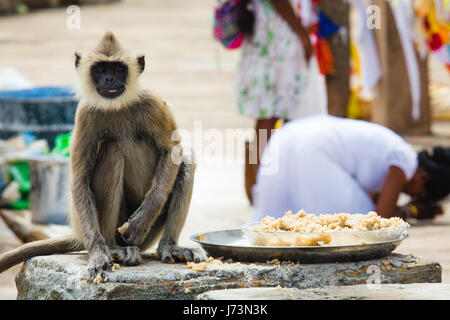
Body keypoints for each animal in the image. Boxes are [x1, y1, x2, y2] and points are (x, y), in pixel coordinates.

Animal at [0, 31, 207, 278]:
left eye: (117, 69)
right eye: (100, 69)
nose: (108, 79)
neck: (117, 105)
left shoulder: (152, 102)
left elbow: (172, 152)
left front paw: (142, 219)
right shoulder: (85, 112)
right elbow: (80, 179)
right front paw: (99, 254)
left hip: (146, 237)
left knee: (186, 160)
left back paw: (168, 246)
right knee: (113, 151)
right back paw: (112, 248)